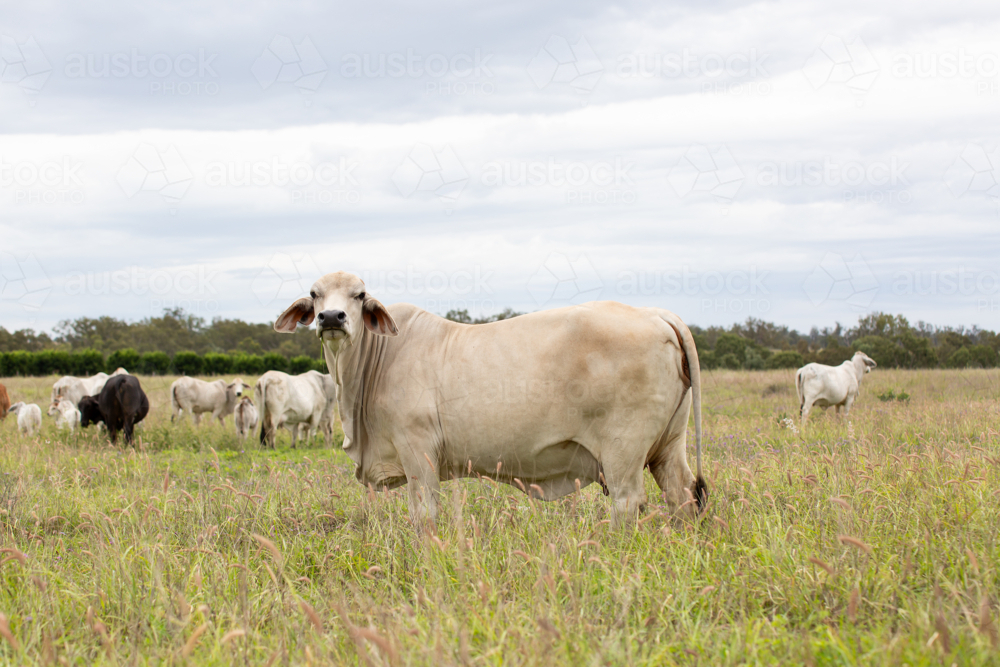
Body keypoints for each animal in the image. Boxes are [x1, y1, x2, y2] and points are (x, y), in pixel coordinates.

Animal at [273, 271, 706, 527]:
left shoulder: (418, 451)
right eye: (315, 294)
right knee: (684, 493)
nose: (331, 318)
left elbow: (424, 515)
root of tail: (655, 313)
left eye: (359, 295)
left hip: (623, 451)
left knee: (628, 502)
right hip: (668, 446)